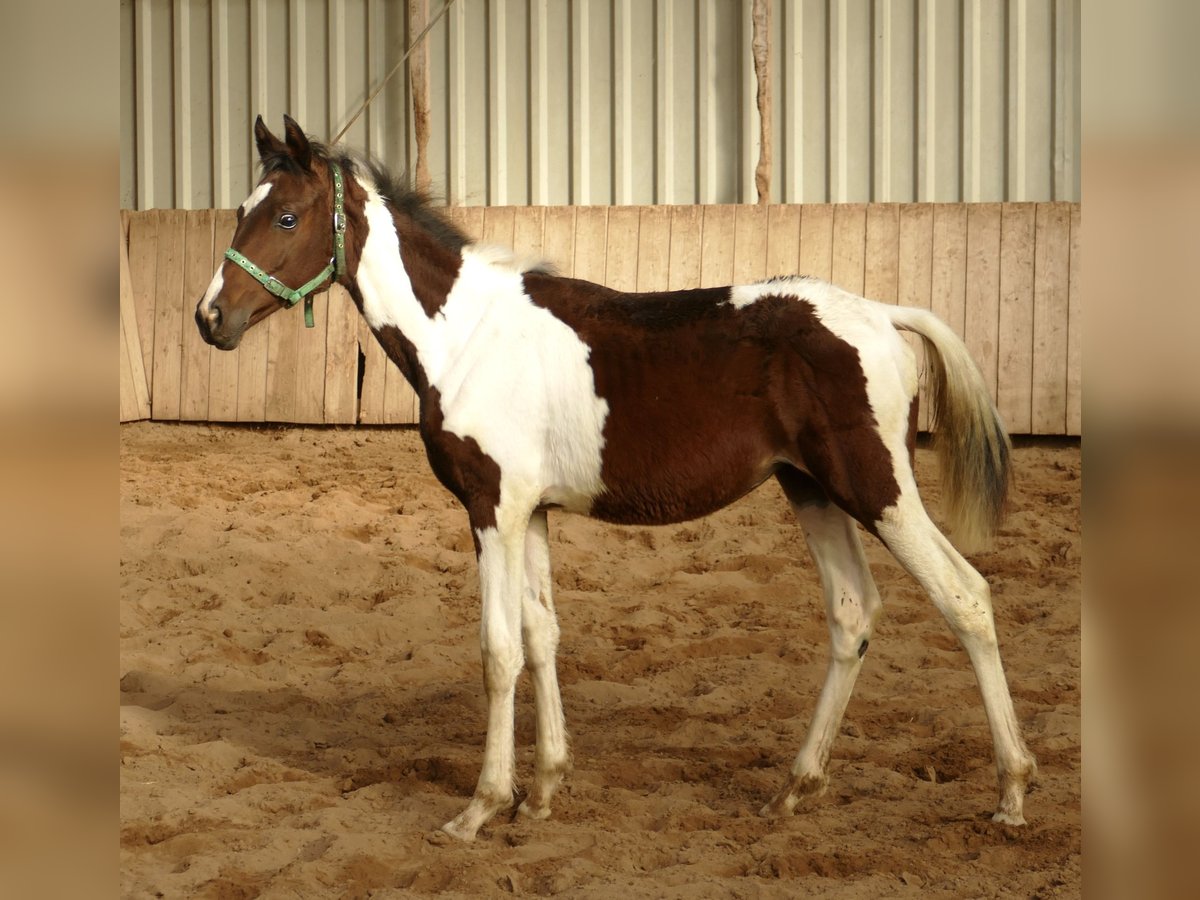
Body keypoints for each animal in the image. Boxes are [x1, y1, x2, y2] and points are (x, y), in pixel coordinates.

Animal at [194, 116, 1032, 844]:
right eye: (241, 211)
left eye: (288, 218)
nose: (210, 319)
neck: (466, 335)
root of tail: (885, 315)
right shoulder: (530, 514)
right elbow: (542, 636)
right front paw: (542, 792)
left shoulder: (491, 509)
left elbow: (498, 649)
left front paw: (480, 808)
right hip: (813, 491)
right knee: (854, 614)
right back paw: (795, 788)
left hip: (877, 490)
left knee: (965, 596)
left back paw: (1013, 792)